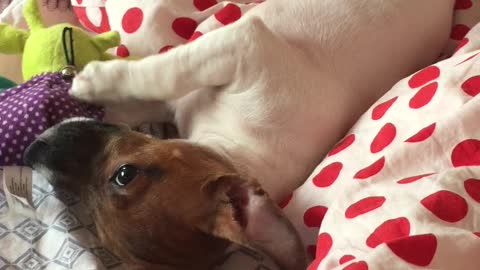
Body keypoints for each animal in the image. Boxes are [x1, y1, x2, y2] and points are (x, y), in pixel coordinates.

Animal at [24, 1, 456, 268]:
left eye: (124, 175)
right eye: (92, 220)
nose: (32, 152)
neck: (233, 147)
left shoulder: (242, 45)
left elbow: (165, 71)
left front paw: (95, 80)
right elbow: (147, 97)